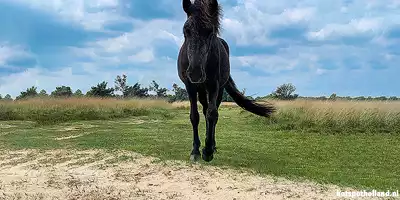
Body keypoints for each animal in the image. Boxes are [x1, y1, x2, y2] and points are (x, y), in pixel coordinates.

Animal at [177, 0, 276, 162]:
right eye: (186, 30)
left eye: (210, 31)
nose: (195, 73)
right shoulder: (190, 86)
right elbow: (194, 116)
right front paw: (195, 150)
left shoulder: (214, 85)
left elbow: (212, 114)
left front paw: (208, 151)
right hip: (201, 90)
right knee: (204, 110)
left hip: (218, 89)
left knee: (211, 114)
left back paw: (212, 146)